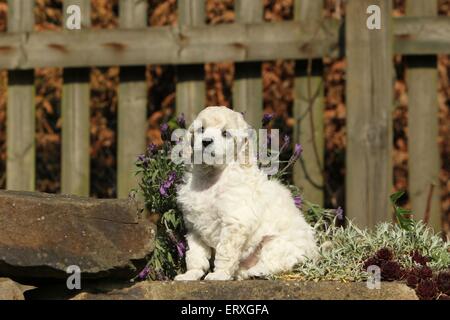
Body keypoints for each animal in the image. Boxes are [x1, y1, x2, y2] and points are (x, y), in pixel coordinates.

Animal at [174, 105, 318, 280]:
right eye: (201, 129)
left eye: (225, 133)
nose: (206, 141)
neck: (212, 177)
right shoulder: (194, 227)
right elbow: (195, 255)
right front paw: (190, 274)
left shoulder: (234, 223)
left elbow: (225, 252)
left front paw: (219, 274)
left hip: (277, 243)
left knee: (278, 261)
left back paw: (258, 271)